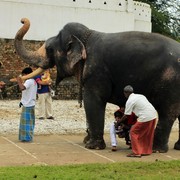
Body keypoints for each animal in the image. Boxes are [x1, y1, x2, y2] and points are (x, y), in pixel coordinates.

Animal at [14, 17, 180, 152]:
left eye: (49, 49)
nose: (22, 20)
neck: (87, 37)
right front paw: (86, 141)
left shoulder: (96, 73)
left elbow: (93, 102)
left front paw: (92, 147)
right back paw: (176, 147)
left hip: (172, 83)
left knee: (168, 112)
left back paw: (157, 149)